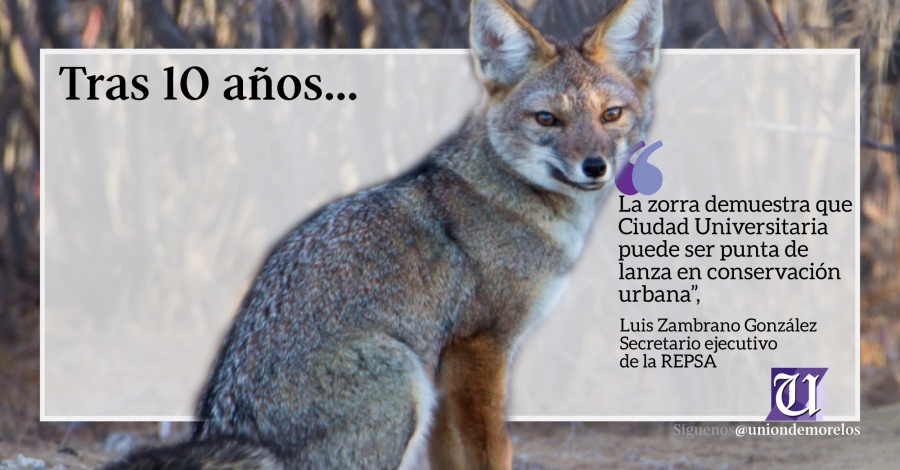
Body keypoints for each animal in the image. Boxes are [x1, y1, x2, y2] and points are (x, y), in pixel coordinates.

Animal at [104, 0, 663, 469]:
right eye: (548, 119)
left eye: (611, 115)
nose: (595, 166)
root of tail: (233, 430)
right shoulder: (479, 349)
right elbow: (492, 451)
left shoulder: (448, 370)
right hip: (402, 375)